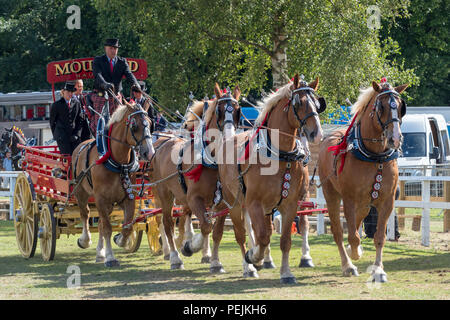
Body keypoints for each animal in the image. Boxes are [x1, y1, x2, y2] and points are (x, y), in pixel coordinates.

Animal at [71, 102, 155, 264]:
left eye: (150, 123)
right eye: (134, 125)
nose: (149, 153)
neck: (118, 163)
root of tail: (81, 145)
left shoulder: (128, 198)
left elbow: (127, 226)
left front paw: (121, 240)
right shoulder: (100, 199)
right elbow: (108, 228)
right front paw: (110, 257)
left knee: (101, 223)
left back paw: (100, 252)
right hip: (81, 193)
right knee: (85, 214)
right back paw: (85, 240)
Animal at [150, 84, 243, 272]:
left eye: (238, 110)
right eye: (219, 110)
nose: (230, 137)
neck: (211, 161)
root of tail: (163, 141)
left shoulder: (223, 203)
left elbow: (216, 232)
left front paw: (215, 261)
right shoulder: (194, 198)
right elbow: (206, 226)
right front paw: (190, 246)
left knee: (183, 218)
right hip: (164, 195)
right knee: (167, 223)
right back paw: (174, 257)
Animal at [217, 74, 326, 282]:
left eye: (317, 103)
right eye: (299, 103)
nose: (316, 134)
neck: (280, 156)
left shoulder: (290, 204)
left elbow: (284, 240)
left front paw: (286, 272)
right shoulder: (254, 203)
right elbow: (262, 236)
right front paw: (254, 257)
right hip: (234, 203)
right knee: (241, 234)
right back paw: (249, 267)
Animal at [316, 80, 408, 282]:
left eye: (400, 107)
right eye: (381, 107)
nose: (395, 138)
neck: (375, 157)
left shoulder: (387, 201)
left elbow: (379, 236)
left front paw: (378, 270)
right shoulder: (349, 199)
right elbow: (352, 236)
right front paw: (354, 254)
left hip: (365, 202)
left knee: (359, 221)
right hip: (332, 194)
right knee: (338, 230)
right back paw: (348, 264)